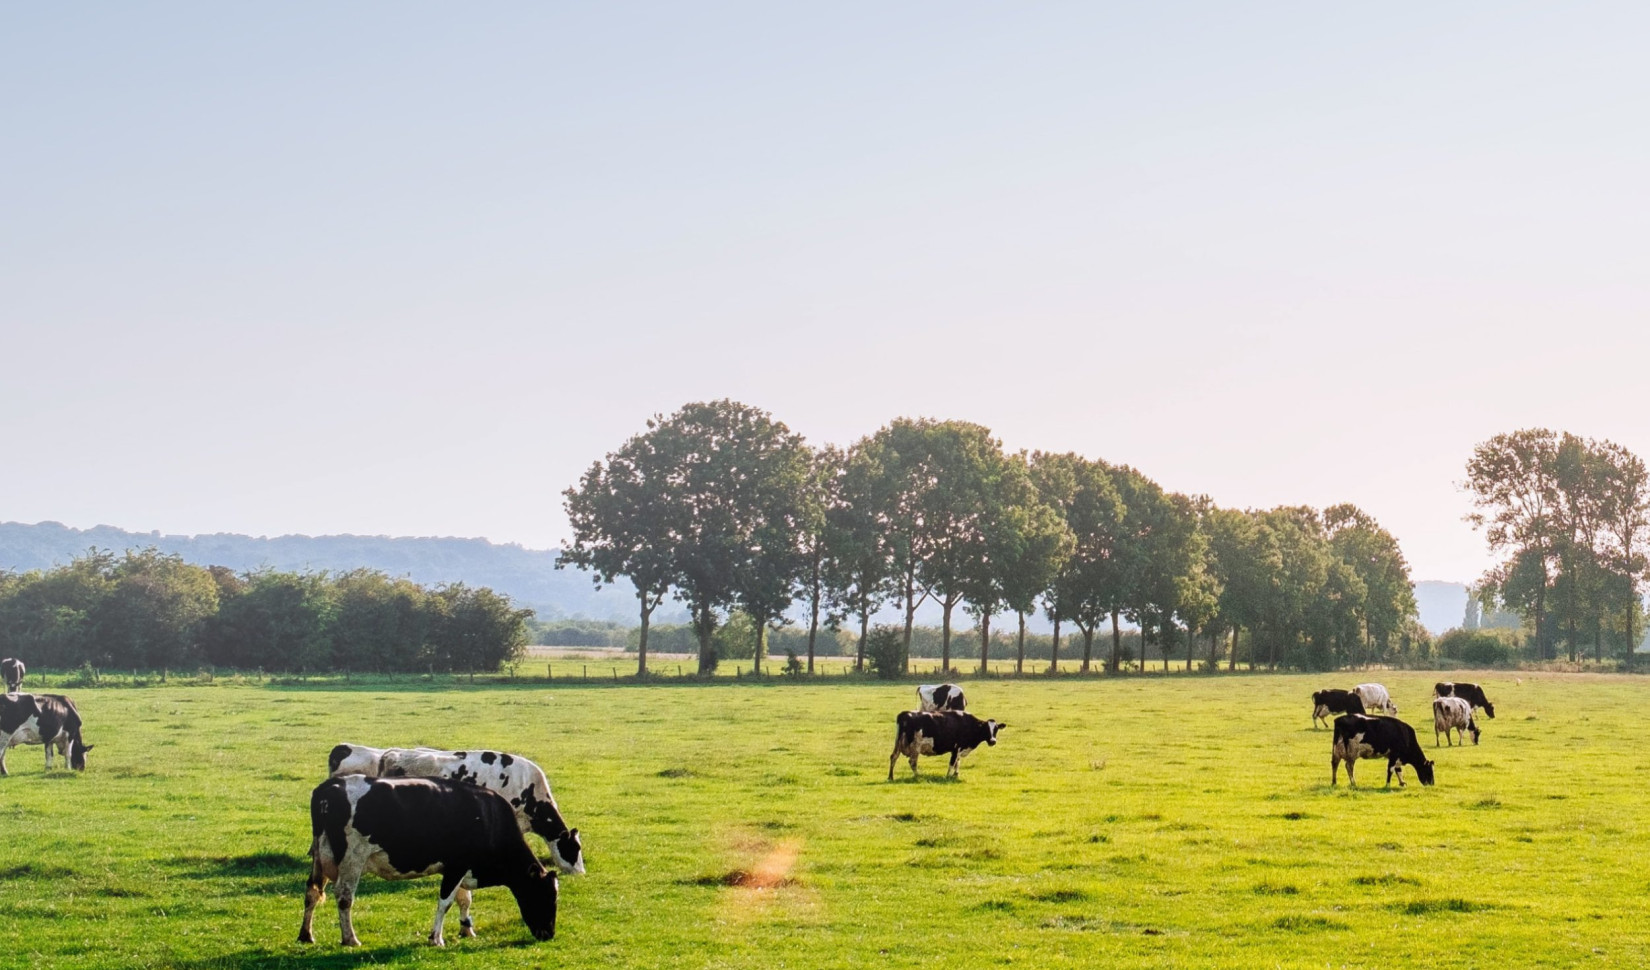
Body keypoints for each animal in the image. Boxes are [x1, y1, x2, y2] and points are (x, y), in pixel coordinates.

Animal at [297, 772, 554, 950]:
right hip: (352, 858)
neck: (488, 817)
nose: (549, 934)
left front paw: (466, 930)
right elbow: (445, 902)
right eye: (545, 896)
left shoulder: (458, 869)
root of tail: (329, 787)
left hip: (319, 857)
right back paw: (350, 938)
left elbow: (464, 899)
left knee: (312, 891)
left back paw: (306, 935)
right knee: (344, 897)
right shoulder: (457, 865)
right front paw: (436, 938)